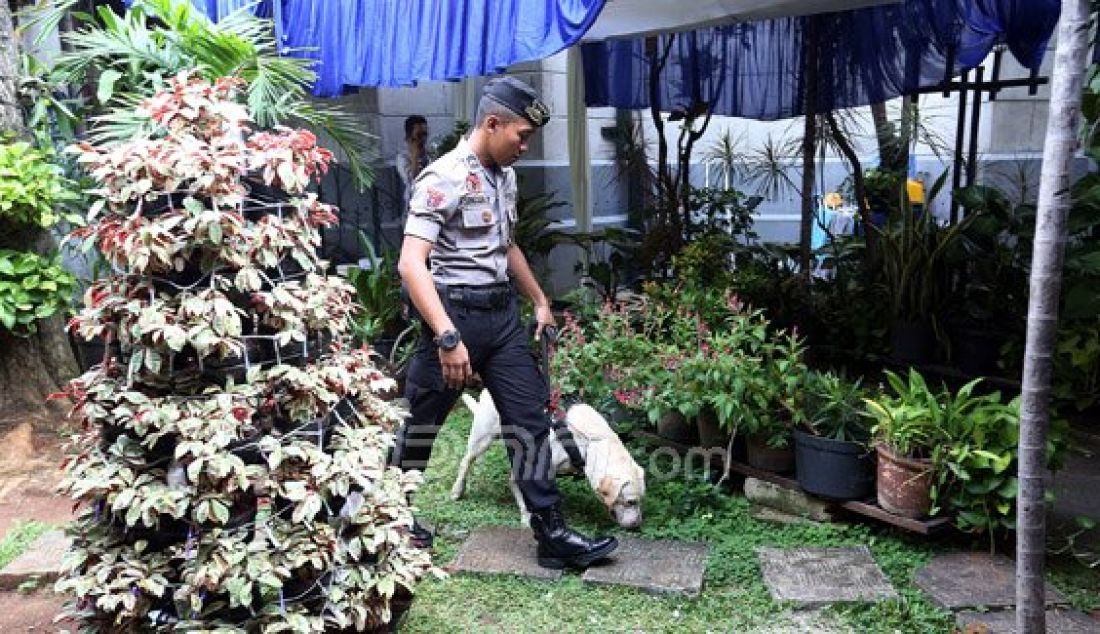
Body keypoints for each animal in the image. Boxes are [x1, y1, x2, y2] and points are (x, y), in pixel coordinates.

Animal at [453, 389, 642, 528]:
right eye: (630, 502)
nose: (637, 525)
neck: (589, 442)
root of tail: (486, 391)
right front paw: (527, 516)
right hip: (482, 440)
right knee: (465, 462)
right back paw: (457, 490)